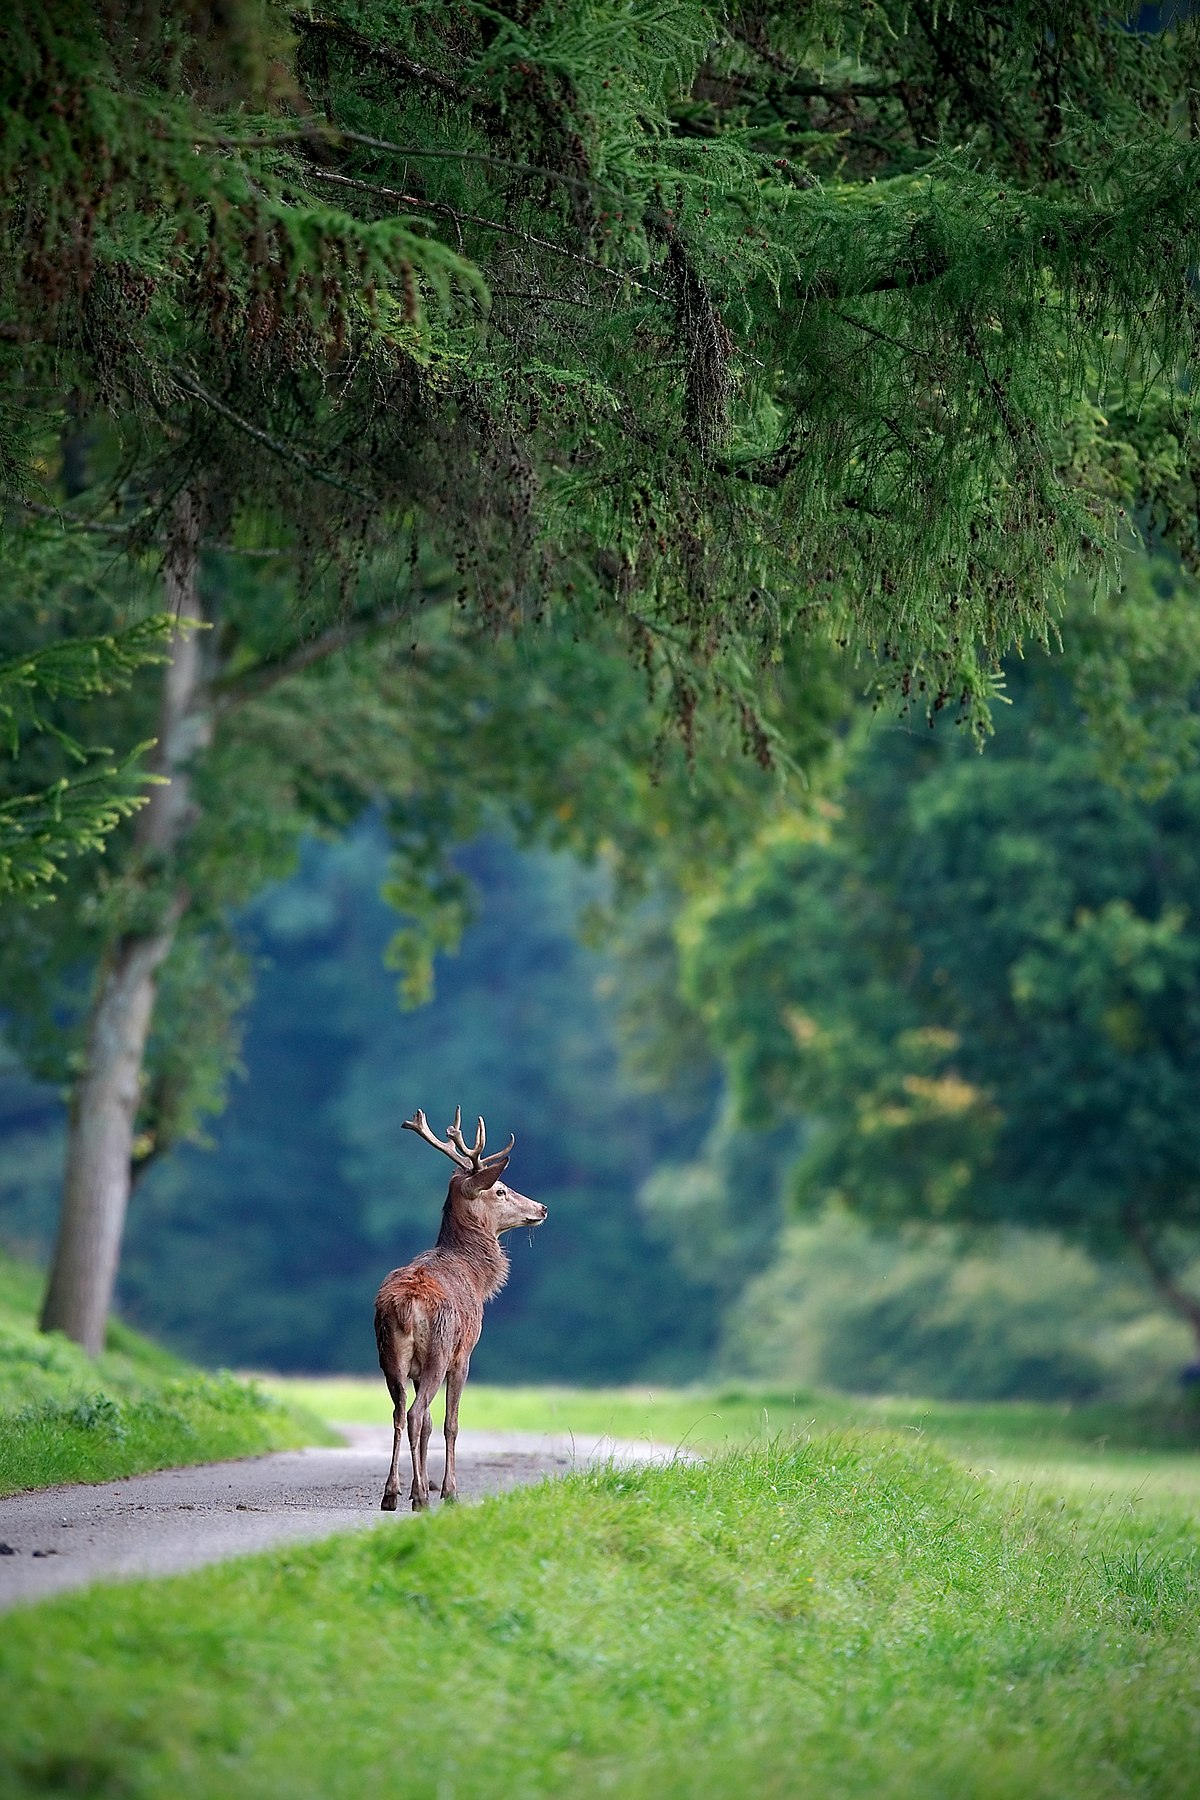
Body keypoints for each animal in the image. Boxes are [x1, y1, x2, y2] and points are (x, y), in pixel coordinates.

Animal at [377, 1108, 546, 1504]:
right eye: (500, 1189)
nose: (542, 1208)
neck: (476, 1276)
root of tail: (406, 1305)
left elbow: (428, 1426)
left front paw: (417, 1486)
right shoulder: (465, 1353)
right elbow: (449, 1423)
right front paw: (448, 1490)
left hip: (388, 1354)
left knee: (398, 1412)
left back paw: (392, 1493)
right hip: (439, 1350)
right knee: (415, 1413)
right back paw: (423, 1498)